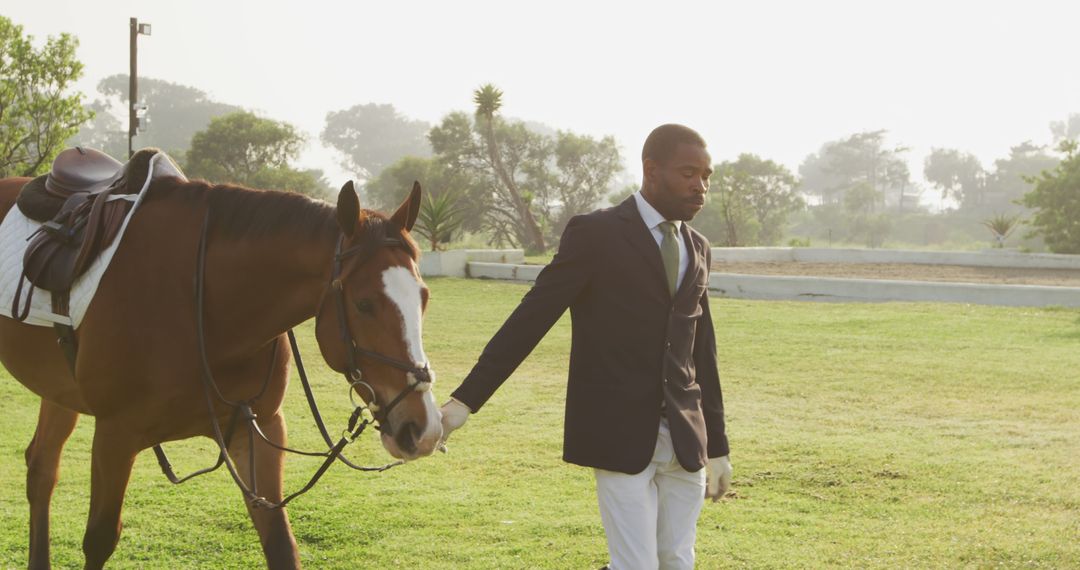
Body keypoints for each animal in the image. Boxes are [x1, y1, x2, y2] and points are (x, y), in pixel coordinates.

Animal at [0, 175, 442, 565]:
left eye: (423, 297)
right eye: (365, 304)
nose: (422, 428)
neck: (206, 303)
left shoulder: (258, 430)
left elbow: (281, 544)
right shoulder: (115, 435)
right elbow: (99, 540)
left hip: (60, 391)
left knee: (41, 468)